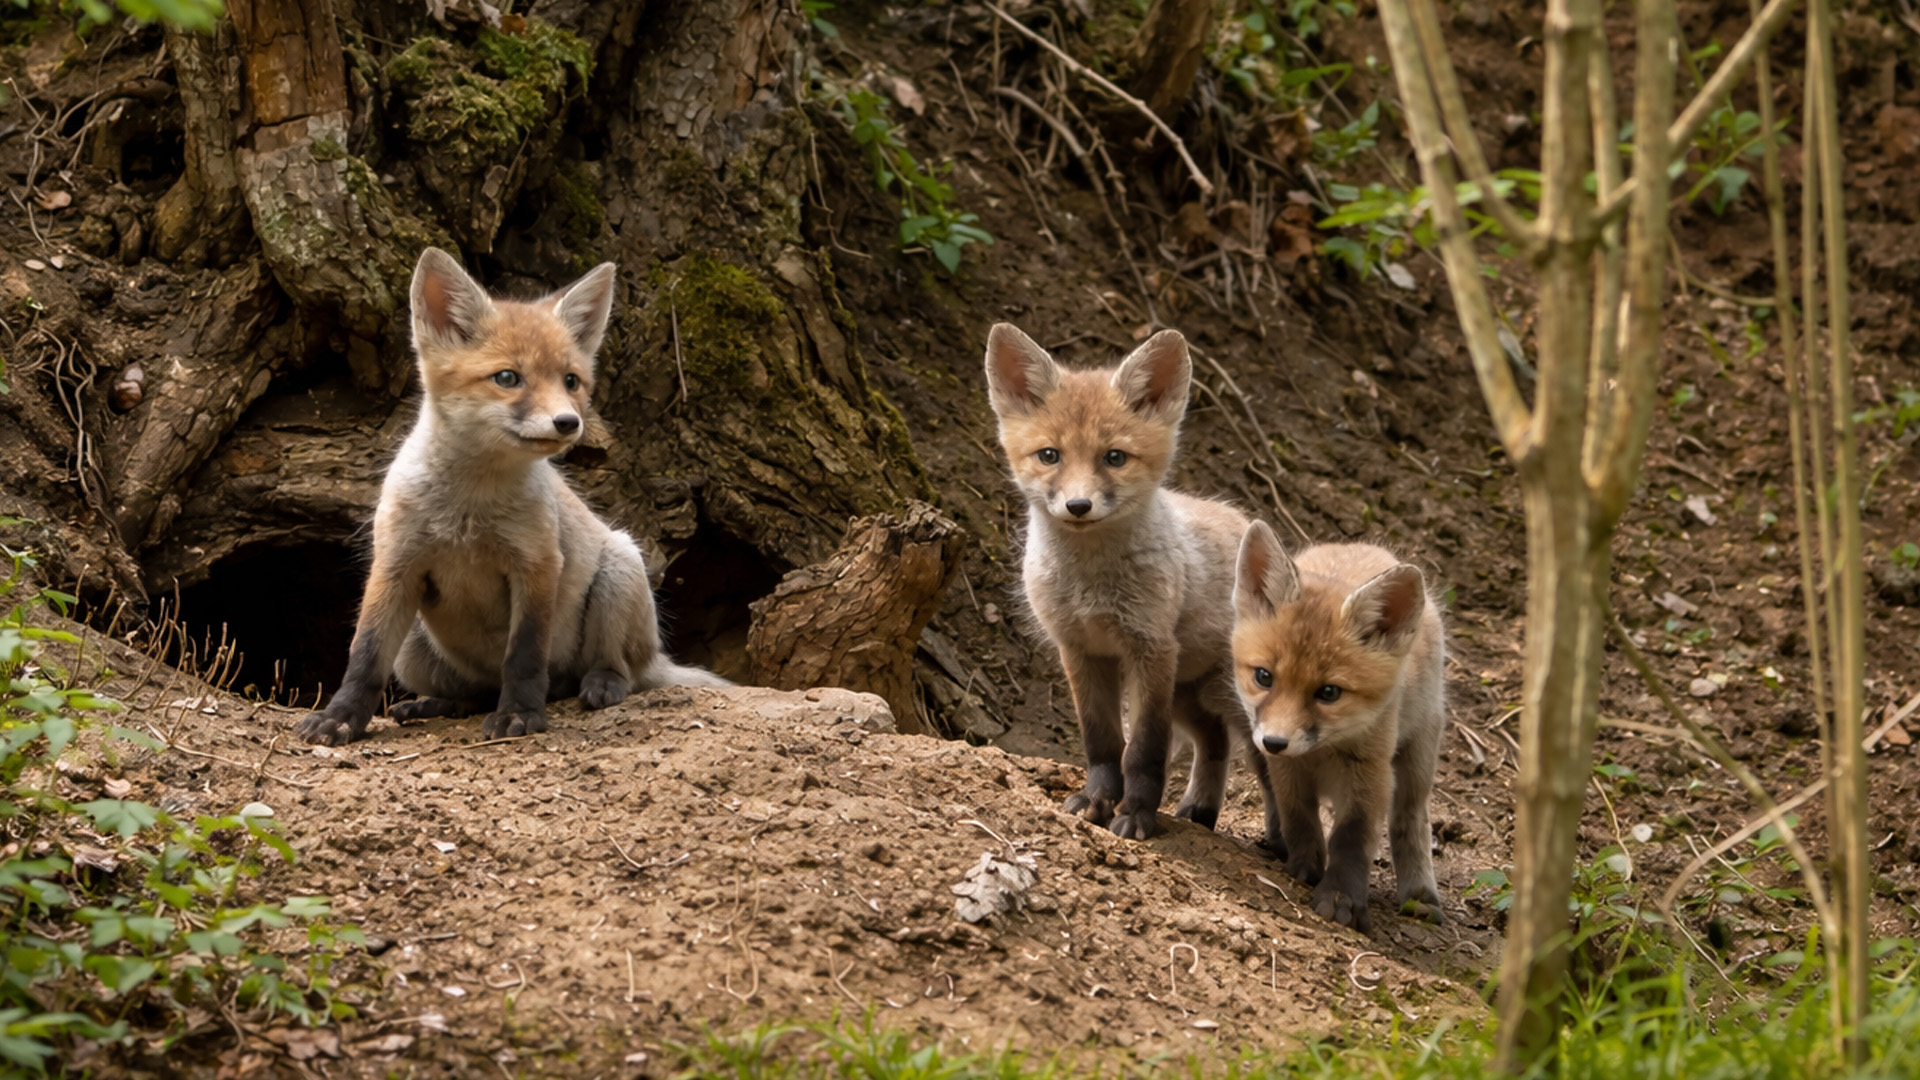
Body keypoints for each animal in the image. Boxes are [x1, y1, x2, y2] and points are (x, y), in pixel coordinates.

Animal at [297, 247, 728, 747]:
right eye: (507, 377)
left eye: (571, 381)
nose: (568, 423)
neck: (468, 510)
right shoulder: (395, 566)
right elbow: (364, 657)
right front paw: (339, 717)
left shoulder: (538, 565)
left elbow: (523, 657)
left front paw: (520, 716)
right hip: (413, 648)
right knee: (475, 693)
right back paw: (435, 704)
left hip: (620, 568)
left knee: (614, 671)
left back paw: (600, 685)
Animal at [985, 322, 1280, 844]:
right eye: (1049, 455)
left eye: (1115, 458)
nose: (1078, 506)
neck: (1091, 584)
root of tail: (1244, 520)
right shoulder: (1081, 650)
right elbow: (1102, 741)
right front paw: (1098, 800)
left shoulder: (1151, 648)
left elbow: (1144, 749)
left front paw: (1138, 813)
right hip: (1189, 695)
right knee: (1215, 744)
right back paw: (1201, 810)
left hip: (1232, 701)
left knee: (1271, 773)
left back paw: (1290, 848)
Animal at [1230, 519, 1446, 932]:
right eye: (1264, 677)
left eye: (1329, 692)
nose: (1275, 741)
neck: (1321, 753)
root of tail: (1364, 545)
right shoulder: (1285, 769)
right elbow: (1299, 818)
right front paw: (1303, 869)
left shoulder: (1371, 772)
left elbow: (1352, 837)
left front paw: (1341, 897)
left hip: (1417, 762)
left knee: (1411, 821)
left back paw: (1420, 895)